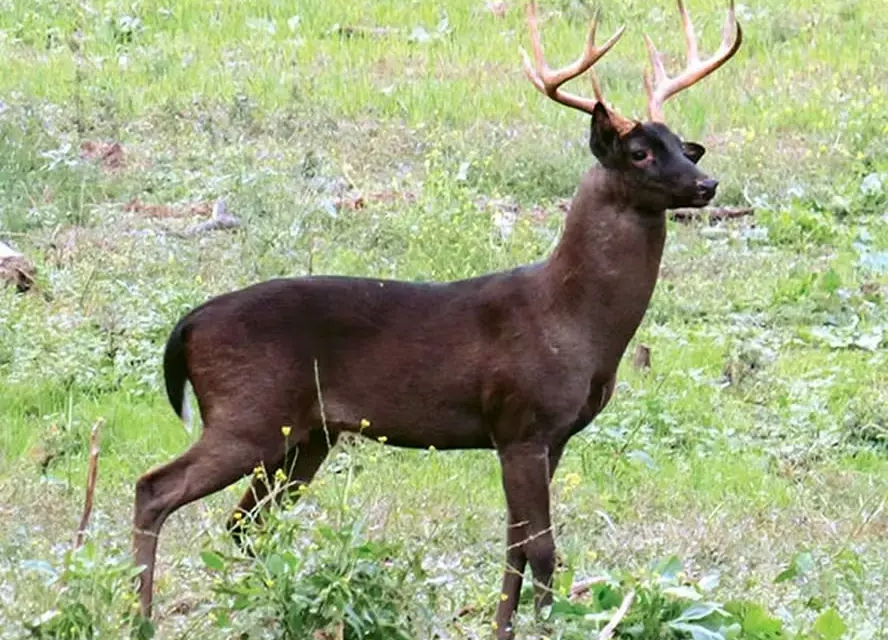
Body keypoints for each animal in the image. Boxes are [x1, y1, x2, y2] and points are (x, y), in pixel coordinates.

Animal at [132, 1, 742, 637]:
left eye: (681, 145)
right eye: (640, 152)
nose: (708, 183)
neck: (574, 322)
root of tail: (187, 325)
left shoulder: (549, 436)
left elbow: (515, 547)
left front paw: (503, 628)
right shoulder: (521, 422)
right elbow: (542, 548)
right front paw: (548, 624)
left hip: (306, 435)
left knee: (246, 523)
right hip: (246, 412)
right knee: (156, 488)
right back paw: (141, 614)